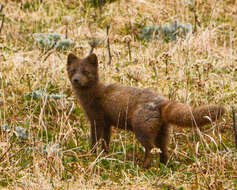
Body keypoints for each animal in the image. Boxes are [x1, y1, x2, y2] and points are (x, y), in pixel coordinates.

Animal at [67, 52, 226, 168]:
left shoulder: (97, 119)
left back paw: (145, 166)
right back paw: (164, 165)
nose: (76, 80)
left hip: (142, 128)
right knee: (164, 149)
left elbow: (95, 139)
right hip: (163, 130)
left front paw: (92, 154)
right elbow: (105, 140)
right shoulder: (106, 123)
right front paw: (103, 154)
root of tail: (162, 102)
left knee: (151, 148)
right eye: (73, 70)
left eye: (86, 72)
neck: (92, 97)